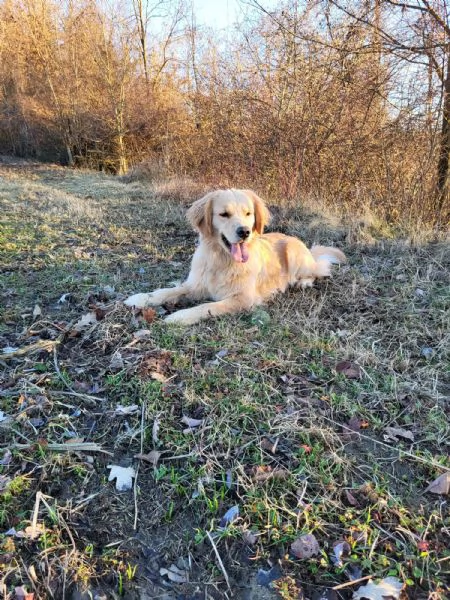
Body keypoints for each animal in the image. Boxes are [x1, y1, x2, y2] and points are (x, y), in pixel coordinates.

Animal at [125, 190, 346, 326]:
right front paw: (141, 298)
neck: (222, 260)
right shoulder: (196, 285)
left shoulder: (243, 298)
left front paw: (179, 316)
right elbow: (167, 291)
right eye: (224, 214)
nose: (244, 231)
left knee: (320, 269)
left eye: (248, 213)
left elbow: (207, 306)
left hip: (294, 251)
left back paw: (303, 282)